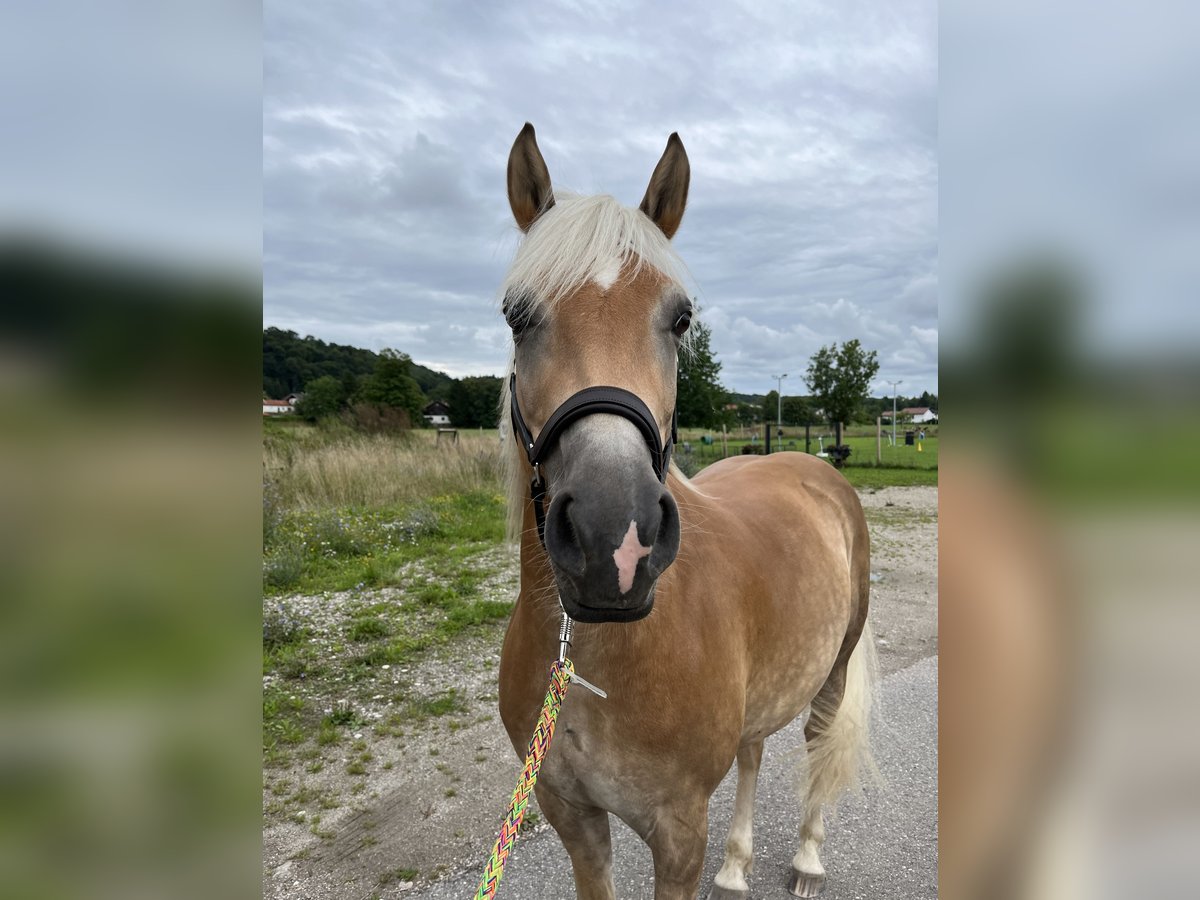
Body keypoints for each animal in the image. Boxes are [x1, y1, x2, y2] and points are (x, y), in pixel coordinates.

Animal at [492, 123, 878, 897]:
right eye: (517, 314)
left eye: (681, 318)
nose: (614, 541)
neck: (597, 655)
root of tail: (816, 468)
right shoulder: (573, 818)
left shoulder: (677, 835)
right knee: (755, 751)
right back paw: (735, 866)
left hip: (834, 671)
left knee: (817, 743)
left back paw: (807, 859)